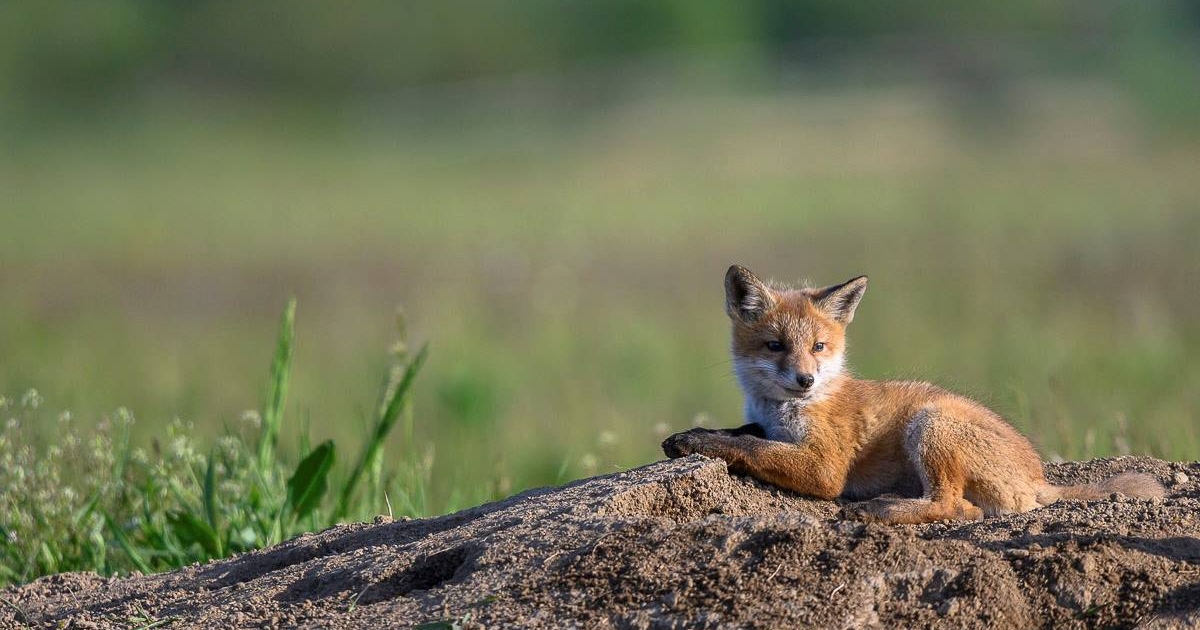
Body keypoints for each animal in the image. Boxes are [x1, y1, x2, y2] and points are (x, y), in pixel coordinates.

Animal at [662, 266, 1166, 525]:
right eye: (775, 346)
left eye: (818, 347)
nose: (805, 380)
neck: (789, 408)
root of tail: (1037, 476)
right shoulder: (766, 424)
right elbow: (745, 432)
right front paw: (696, 434)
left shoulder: (825, 467)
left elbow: (751, 446)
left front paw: (699, 441)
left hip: (930, 424)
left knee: (960, 509)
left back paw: (878, 509)